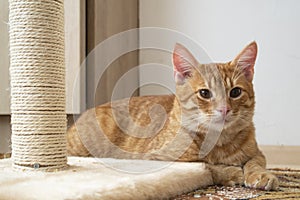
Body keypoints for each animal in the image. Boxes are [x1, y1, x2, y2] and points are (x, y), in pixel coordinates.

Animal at [67, 41, 278, 191]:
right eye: (205, 93)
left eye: (235, 92)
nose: (224, 109)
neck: (220, 142)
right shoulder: (157, 159)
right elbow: (203, 165)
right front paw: (231, 172)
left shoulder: (257, 153)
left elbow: (255, 163)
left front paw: (261, 175)